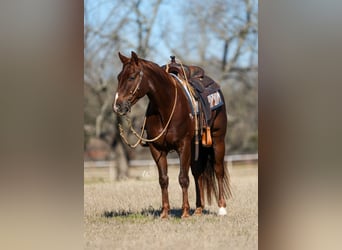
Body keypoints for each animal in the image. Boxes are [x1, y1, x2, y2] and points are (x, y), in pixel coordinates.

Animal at [113, 51, 231, 218]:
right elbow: (163, 179)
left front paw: (185, 212)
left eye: (132, 77)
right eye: (118, 77)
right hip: (196, 147)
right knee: (198, 173)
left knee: (218, 170)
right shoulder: (157, 149)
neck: (166, 106)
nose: (118, 106)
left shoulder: (184, 146)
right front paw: (164, 213)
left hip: (217, 140)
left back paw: (221, 208)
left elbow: (183, 178)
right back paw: (199, 209)